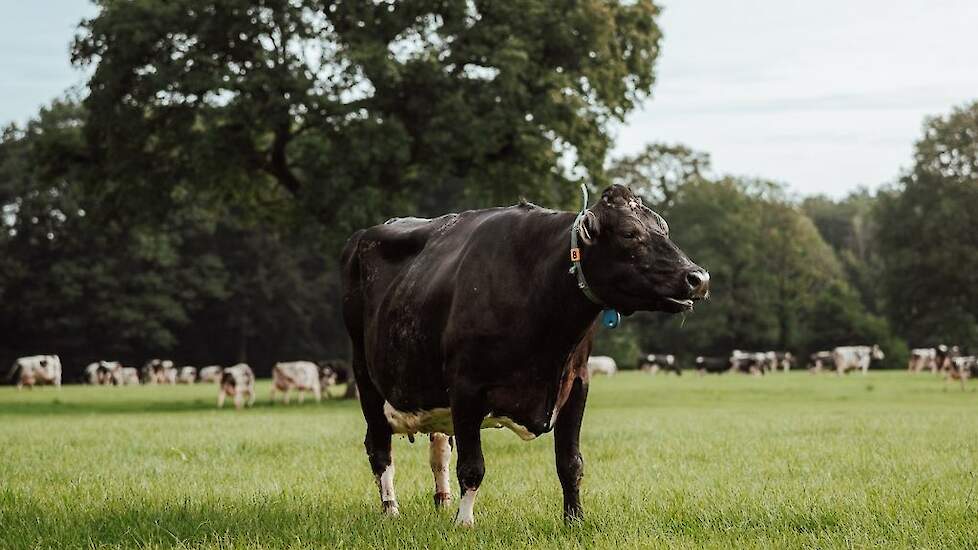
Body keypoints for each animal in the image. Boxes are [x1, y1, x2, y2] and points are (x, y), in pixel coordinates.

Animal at [340, 184, 704, 528]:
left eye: (663, 228)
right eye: (629, 233)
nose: (698, 277)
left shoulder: (576, 382)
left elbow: (570, 463)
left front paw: (575, 520)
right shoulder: (465, 386)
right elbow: (472, 466)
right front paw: (464, 523)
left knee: (439, 448)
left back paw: (442, 502)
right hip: (366, 375)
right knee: (379, 448)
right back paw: (391, 510)